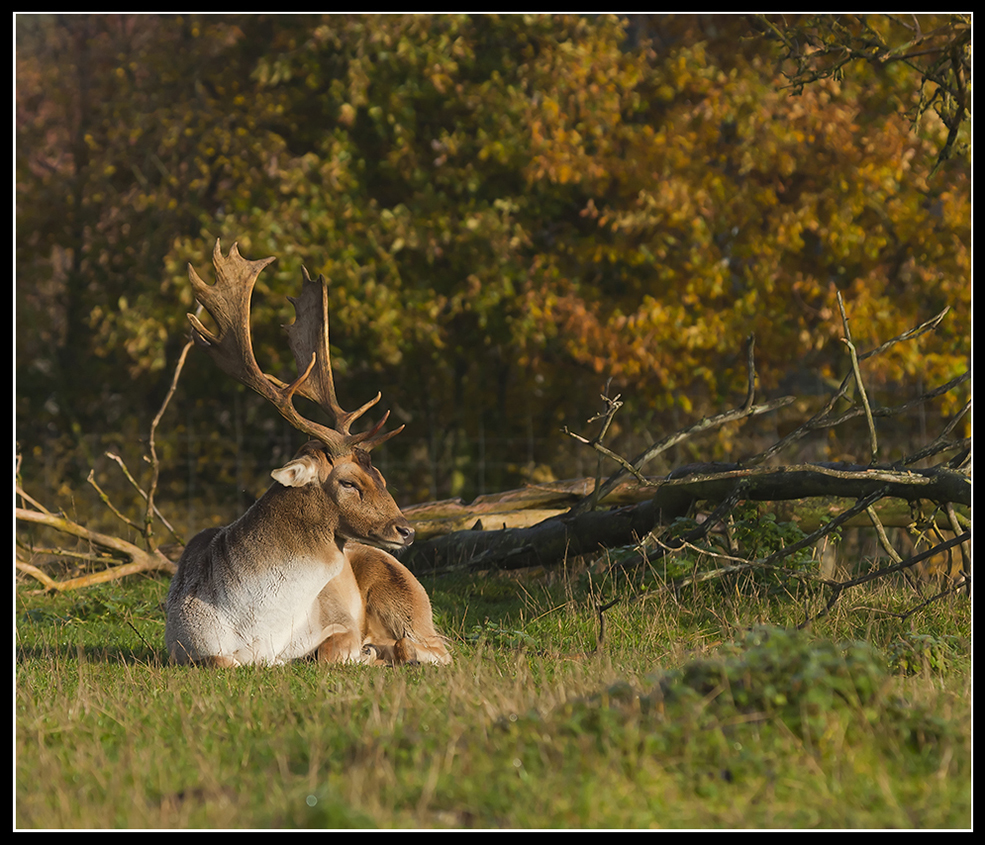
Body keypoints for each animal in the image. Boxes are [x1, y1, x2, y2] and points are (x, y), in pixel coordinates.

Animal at [164, 237, 450, 664]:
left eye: (380, 475)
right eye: (349, 482)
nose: (407, 529)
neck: (258, 630)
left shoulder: (340, 623)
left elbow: (329, 651)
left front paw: (364, 653)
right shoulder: (181, 644)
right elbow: (221, 659)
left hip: (405, 589)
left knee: (436, 645)